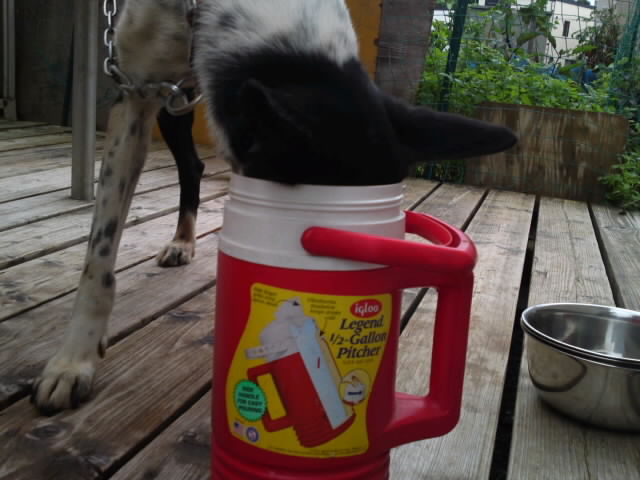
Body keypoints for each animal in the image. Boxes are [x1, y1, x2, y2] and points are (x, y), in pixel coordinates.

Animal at [31, 0, 516, 414]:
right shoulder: (136, 92)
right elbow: (99, 254)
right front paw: (72, 361)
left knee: (192, 165)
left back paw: (185, 241)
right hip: (171, 101)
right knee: (188, 164)